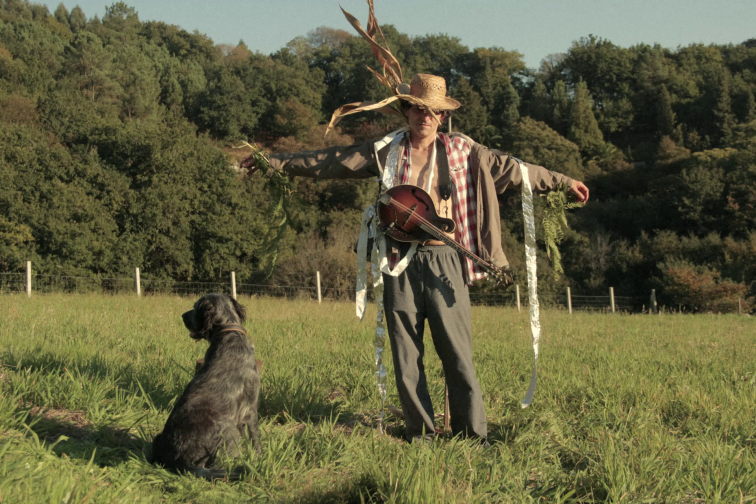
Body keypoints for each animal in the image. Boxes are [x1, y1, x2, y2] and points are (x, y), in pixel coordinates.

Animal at [151, 292, 262, 476]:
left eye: (195, 307)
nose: (182, 316)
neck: (228, 334)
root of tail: (180, 458)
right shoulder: (250, 410)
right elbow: (256, 440)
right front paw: (261, 458)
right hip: (228, 428)